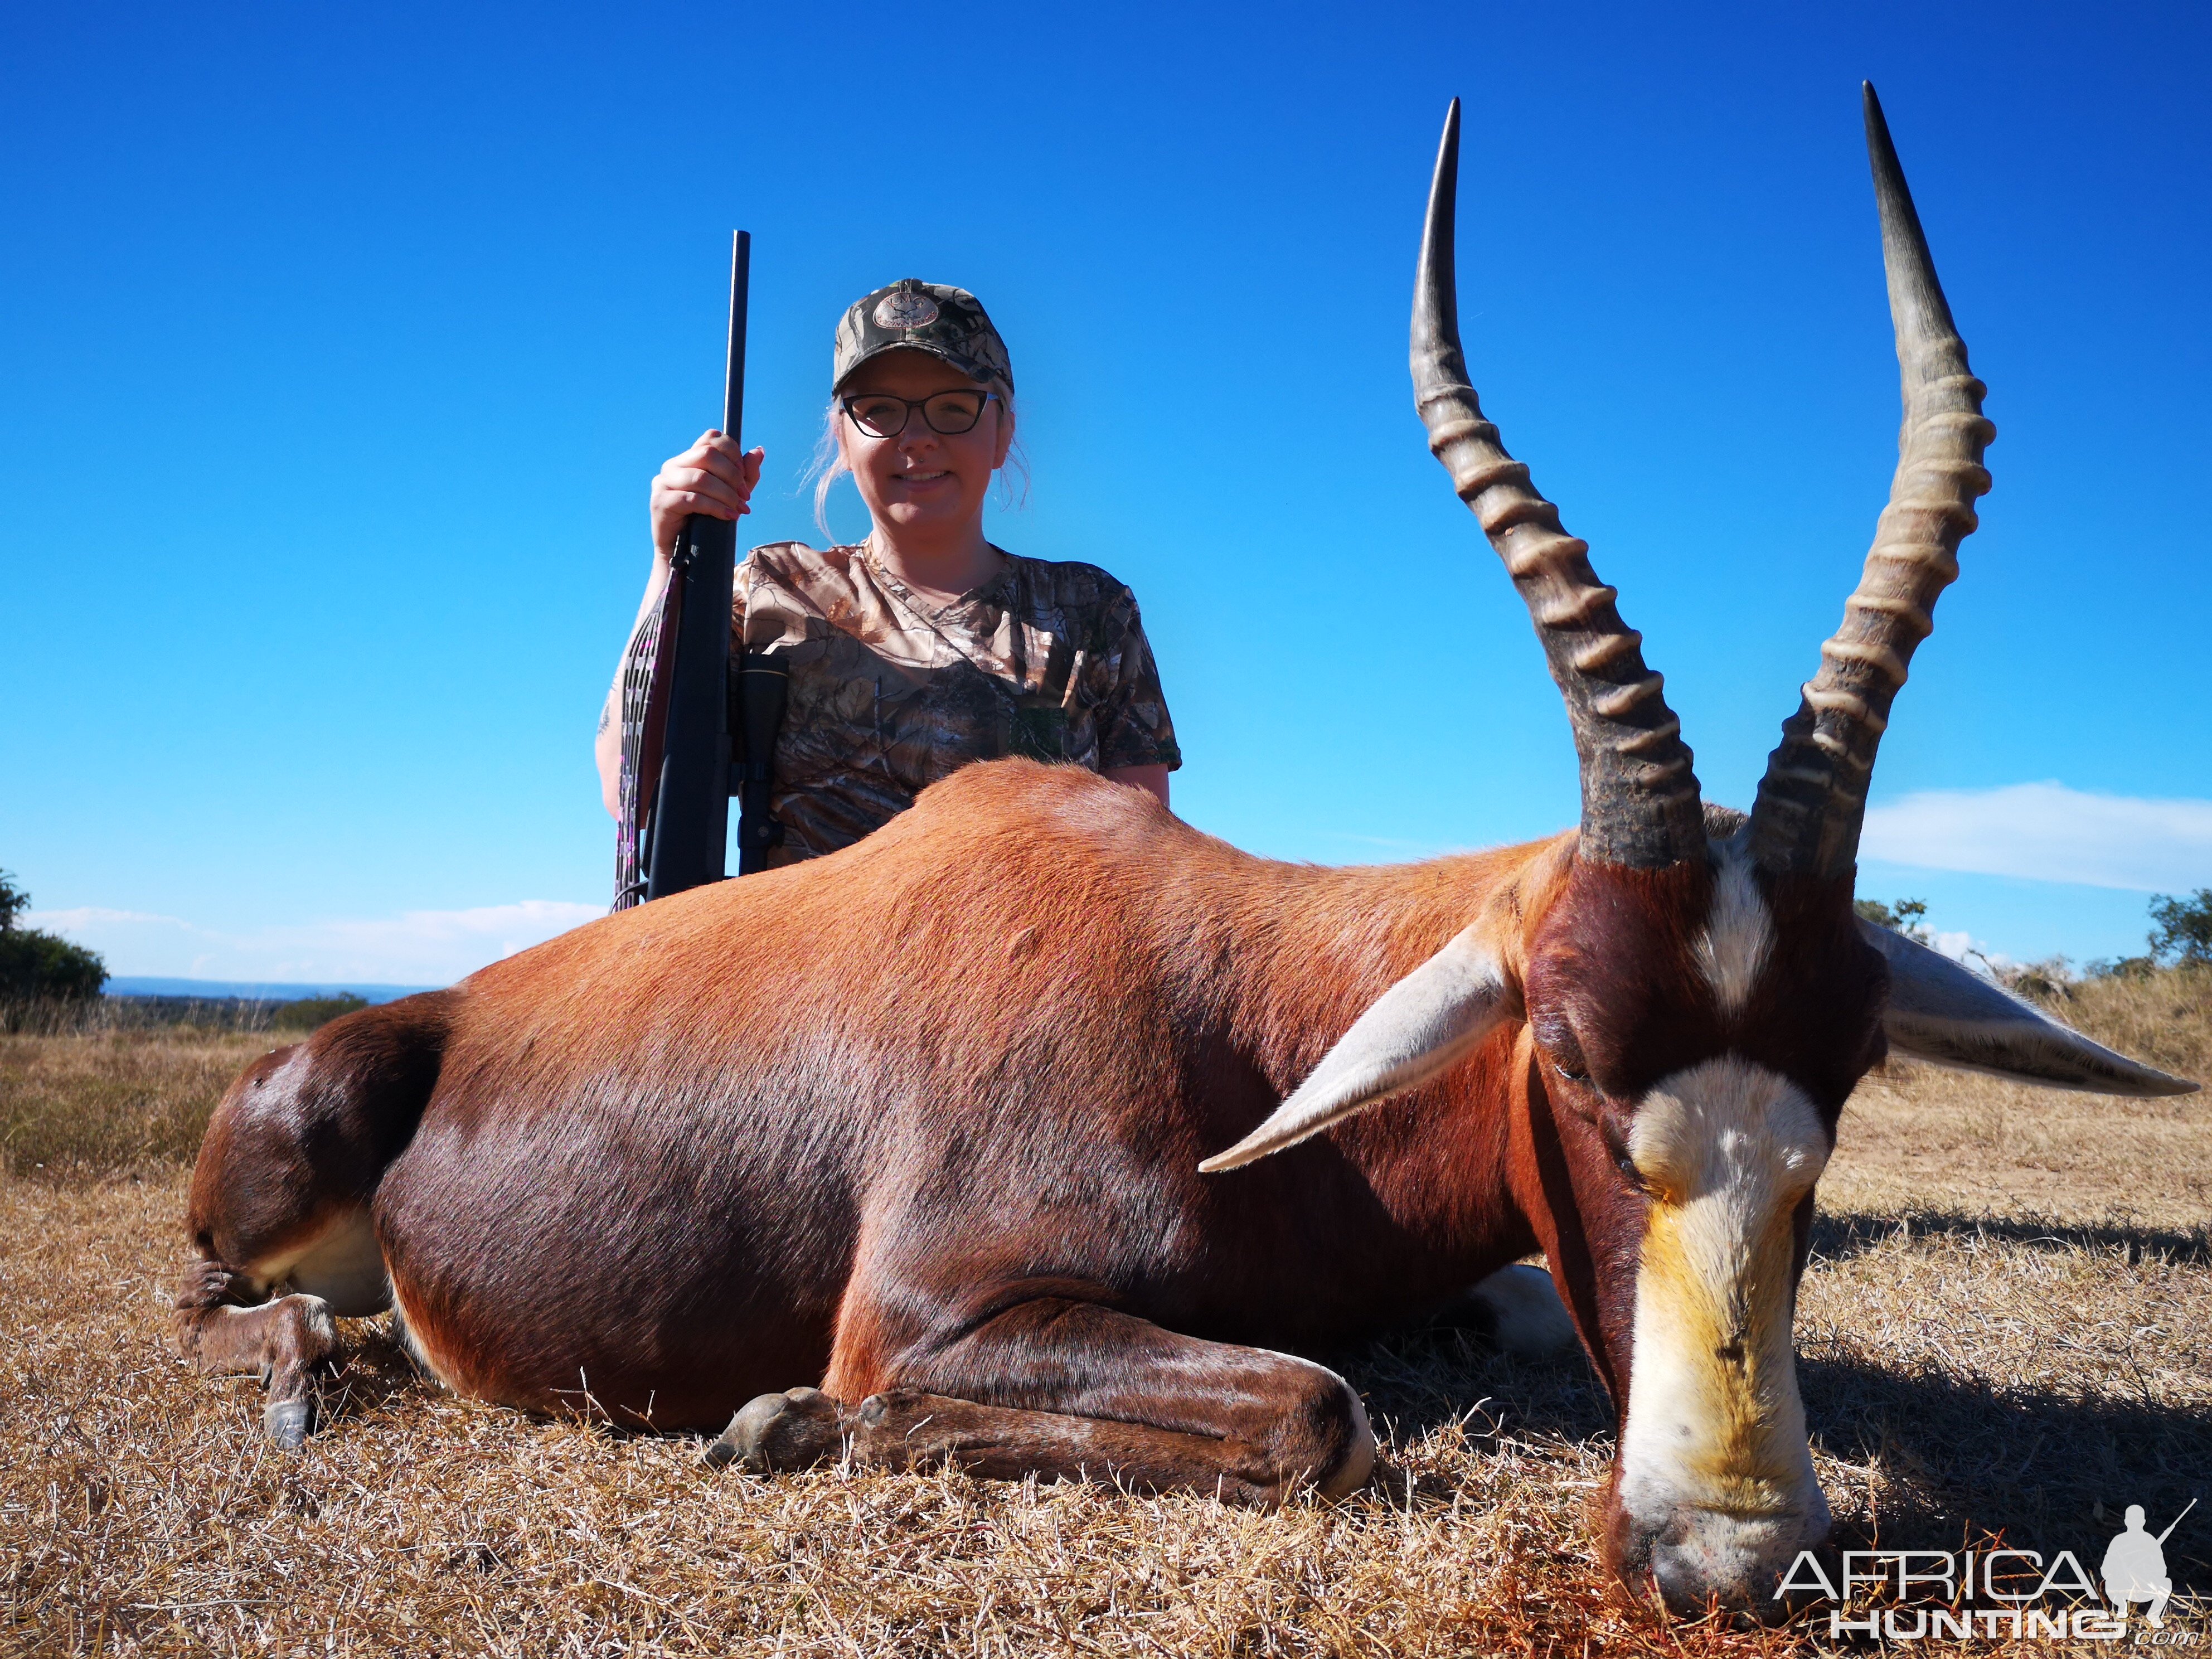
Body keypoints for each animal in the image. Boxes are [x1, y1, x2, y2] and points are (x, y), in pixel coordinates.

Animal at [177, 88, 2194, 1610]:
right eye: (1564, 1046)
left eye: (1847, 1066)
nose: (1728, 1551)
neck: (1227, 994)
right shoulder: (928, 1313)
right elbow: (1316, 1413)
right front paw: (772, 1421)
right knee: (225, 1311)